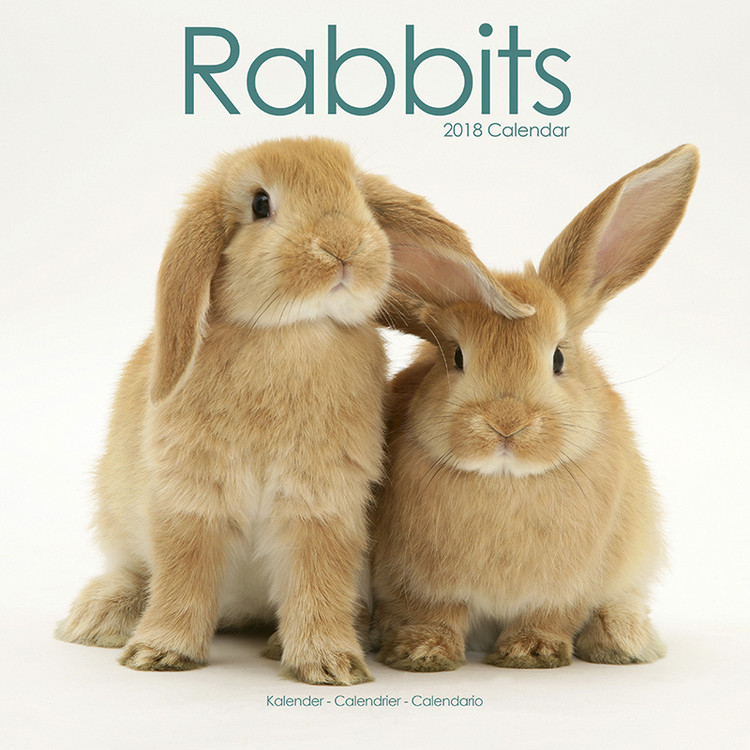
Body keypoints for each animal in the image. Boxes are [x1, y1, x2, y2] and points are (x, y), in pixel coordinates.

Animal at [55, 136, 529, 686]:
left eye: (360, 199)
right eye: (261, 204)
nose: (343, 246)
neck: (292, 331)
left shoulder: (323, 501)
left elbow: (315, 579)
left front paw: (331, 665)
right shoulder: (191, 494)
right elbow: (183, 573)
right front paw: (158, 654)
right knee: (139, 573)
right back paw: (96, 618)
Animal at [371, 144, 699, 672]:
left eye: (559, 358)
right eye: (456, 357)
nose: (507, 424)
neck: (507, 481)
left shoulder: (567, 589)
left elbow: (550, 616)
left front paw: (531, 652)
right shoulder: (417, 585)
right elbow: (433, 614)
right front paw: (422, 652)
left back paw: (623, 639)